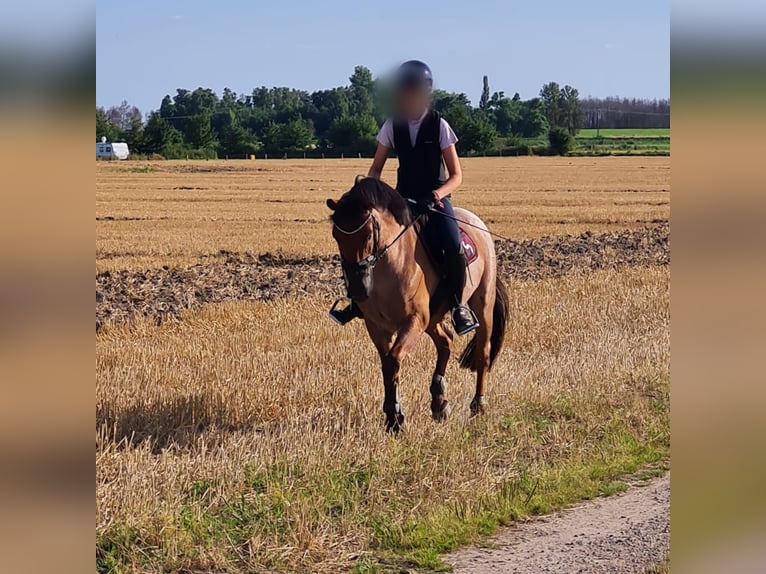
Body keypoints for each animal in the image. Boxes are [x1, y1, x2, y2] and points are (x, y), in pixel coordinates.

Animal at [326, 179, 510, 432]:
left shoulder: (413, 320)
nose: (357, 288)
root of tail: (476, 221)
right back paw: (439, 402)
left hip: (482, 304)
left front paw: (395, 419)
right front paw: (392, 414)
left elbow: (393, 360)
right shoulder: (377, 327)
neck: (388, 265)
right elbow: (387, 364)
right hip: (433, 318)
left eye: (367, 235)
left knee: (482, 353)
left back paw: (477, 407)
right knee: (445, 342)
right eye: (336, 235)